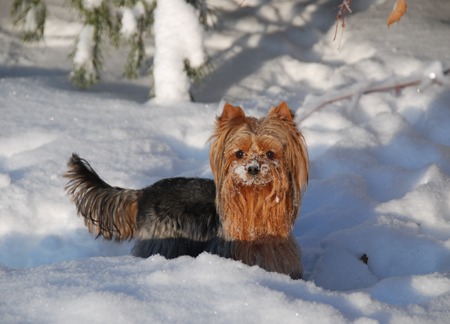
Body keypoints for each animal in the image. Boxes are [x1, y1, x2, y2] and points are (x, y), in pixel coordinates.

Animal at [64, 103, 310, 278]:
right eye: (239, 153)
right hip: (161, 238)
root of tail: (144, 193)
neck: (256, 204)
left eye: (270, 154)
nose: (252, 168)